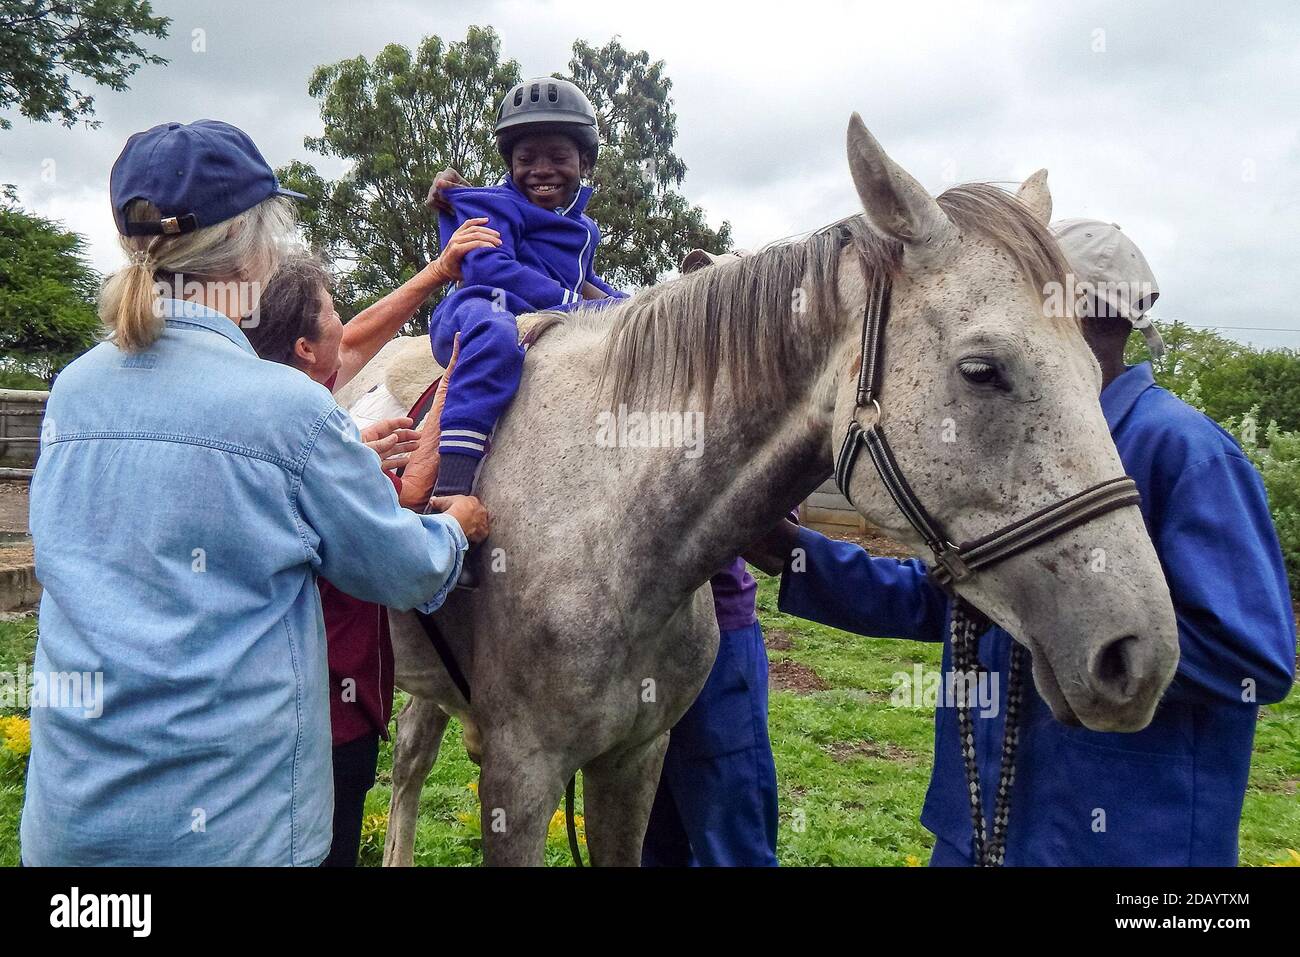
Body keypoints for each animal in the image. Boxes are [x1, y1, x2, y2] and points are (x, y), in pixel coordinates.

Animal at [364, 114, 1180, 866]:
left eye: (1094, 370)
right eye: (982, 370)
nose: (1137, 654)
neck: (605, 522)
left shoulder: (635, 760)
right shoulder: (519, 778)